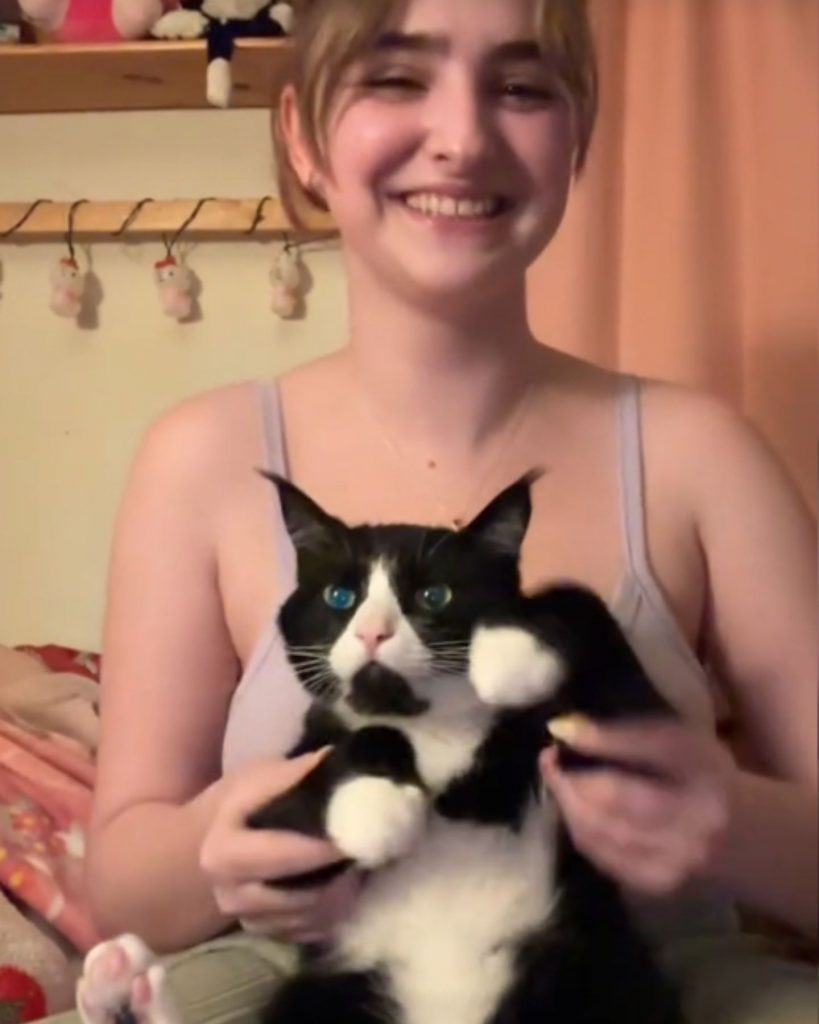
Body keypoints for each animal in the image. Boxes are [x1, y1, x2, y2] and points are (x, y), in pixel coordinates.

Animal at [243, 471, 683, 1024]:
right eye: (340, 596)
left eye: (435, 595)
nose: (373, 632)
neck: (434, 728)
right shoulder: (273, 837)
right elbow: (295, 803)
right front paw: (376, 810)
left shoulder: (585, 731)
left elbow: (582, 606)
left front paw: (514, 649)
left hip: (605, 973)